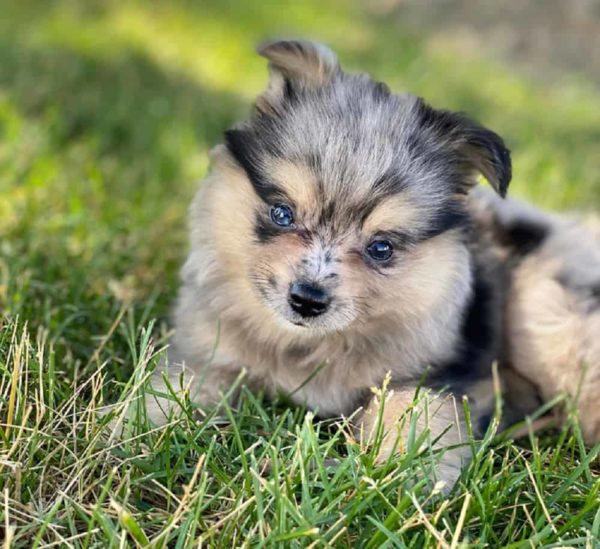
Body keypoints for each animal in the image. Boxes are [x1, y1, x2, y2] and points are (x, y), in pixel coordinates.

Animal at [139, 40, 600, 488]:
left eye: (381, 248)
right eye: (282, 214)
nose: (307, 301)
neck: (310, 346)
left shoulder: (432, 373)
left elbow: (412, 417)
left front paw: (389, 477)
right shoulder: (206, 353)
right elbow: (175, 392)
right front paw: (140, 438)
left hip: (546, 316)